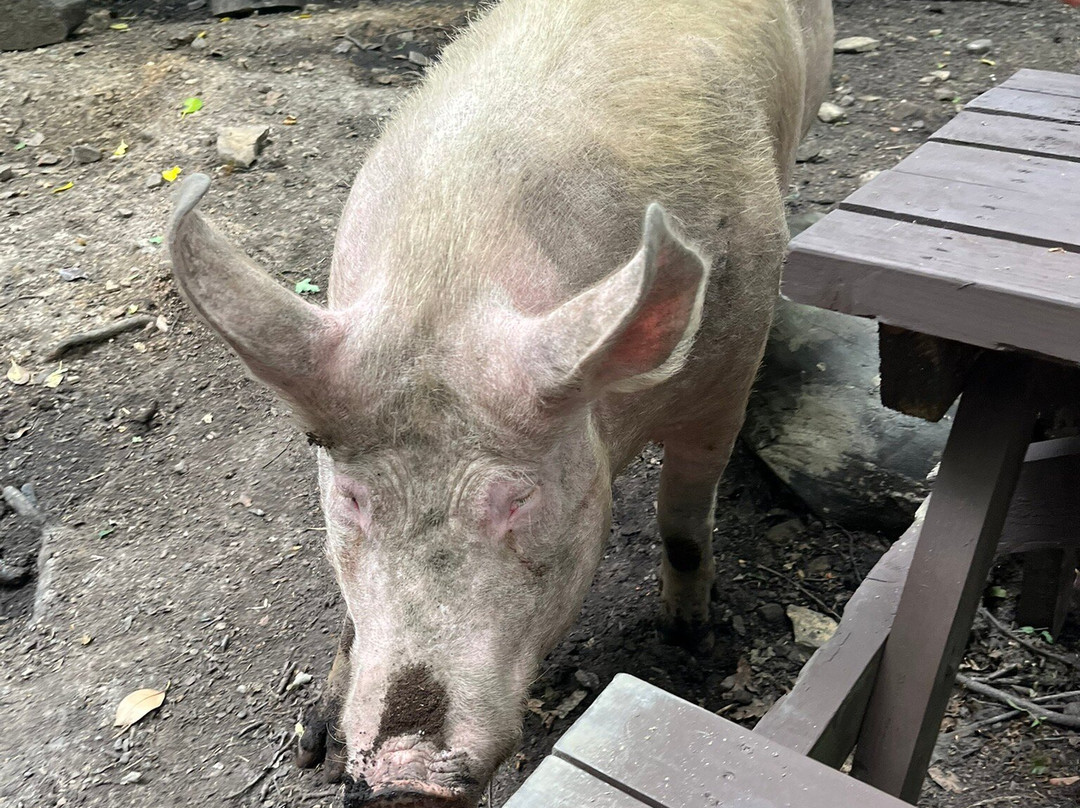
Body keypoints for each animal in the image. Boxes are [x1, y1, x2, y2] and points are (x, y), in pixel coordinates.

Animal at [168, 0, 834, 805]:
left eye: (517, 501)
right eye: (352, 499)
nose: (402, 775)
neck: (449, 273)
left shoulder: (725, 380)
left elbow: (681, 518)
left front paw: (690, 639)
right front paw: (311, 750)